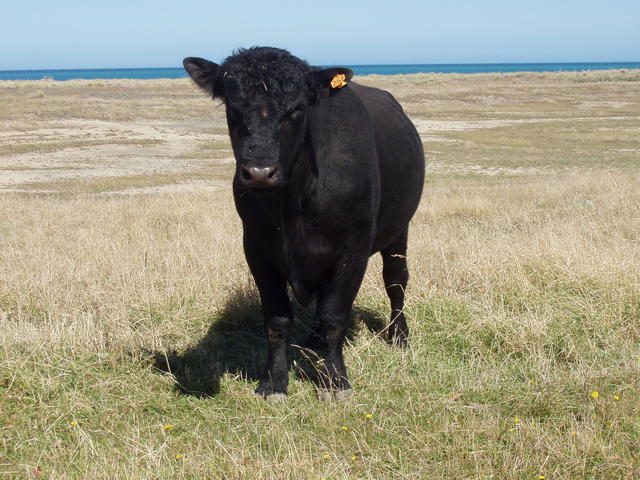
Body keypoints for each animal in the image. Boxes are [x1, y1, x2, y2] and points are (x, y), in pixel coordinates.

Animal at [183, 47, 424, 402]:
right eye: (232, 108)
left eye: (295, 111)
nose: (259, 172)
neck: (293, 203)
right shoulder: (257, 248)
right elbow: (277, 317)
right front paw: (274, 382)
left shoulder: (353, 248)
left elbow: (335, 314)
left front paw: (335, 381)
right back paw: (314, 341)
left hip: (399, 230)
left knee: (396, 281)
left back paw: (398, 336)